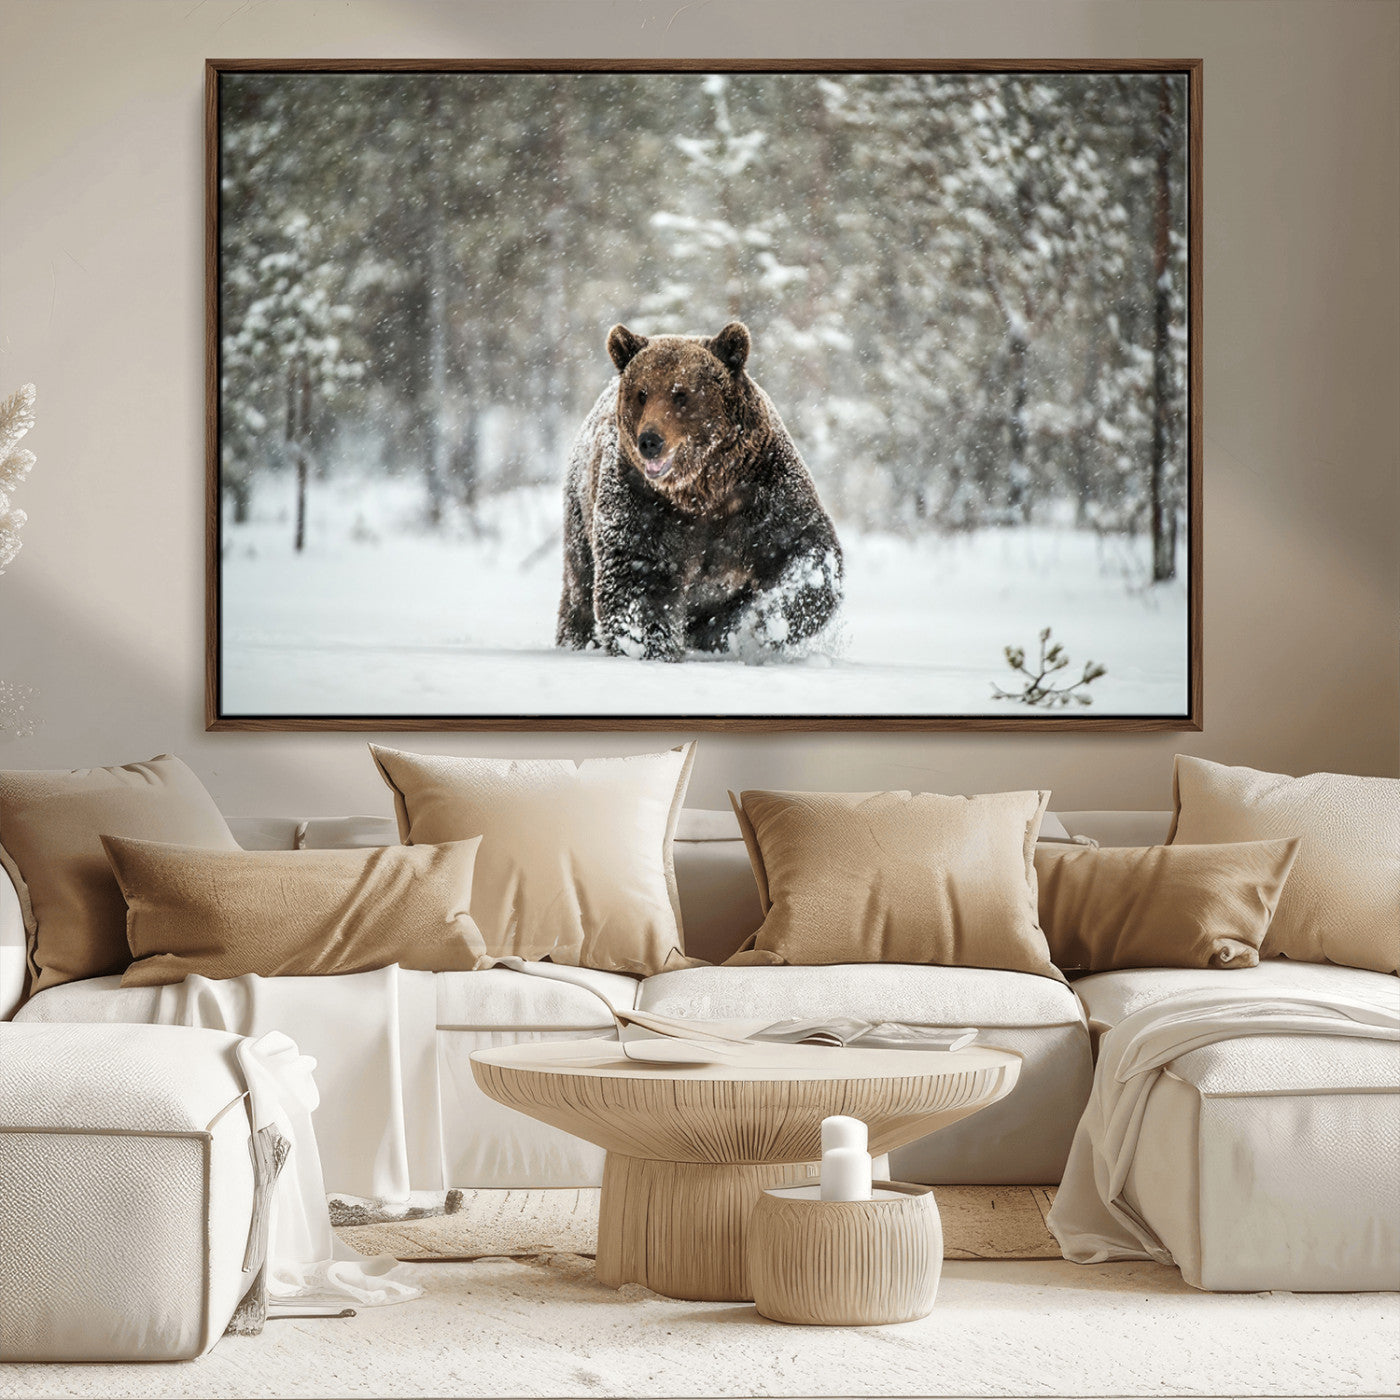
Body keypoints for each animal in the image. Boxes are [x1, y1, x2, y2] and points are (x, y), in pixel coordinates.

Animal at [556, 321, 843, 663]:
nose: (650, 441)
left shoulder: (762, 489)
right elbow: (637, 574)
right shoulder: (643, 501)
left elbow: (804, 549)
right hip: (580, 509)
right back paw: (576, 639)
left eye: (681, 394)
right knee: (580, 586)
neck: (702, 489)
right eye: (642, 393)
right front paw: (650, 646)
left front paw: (765, 623)